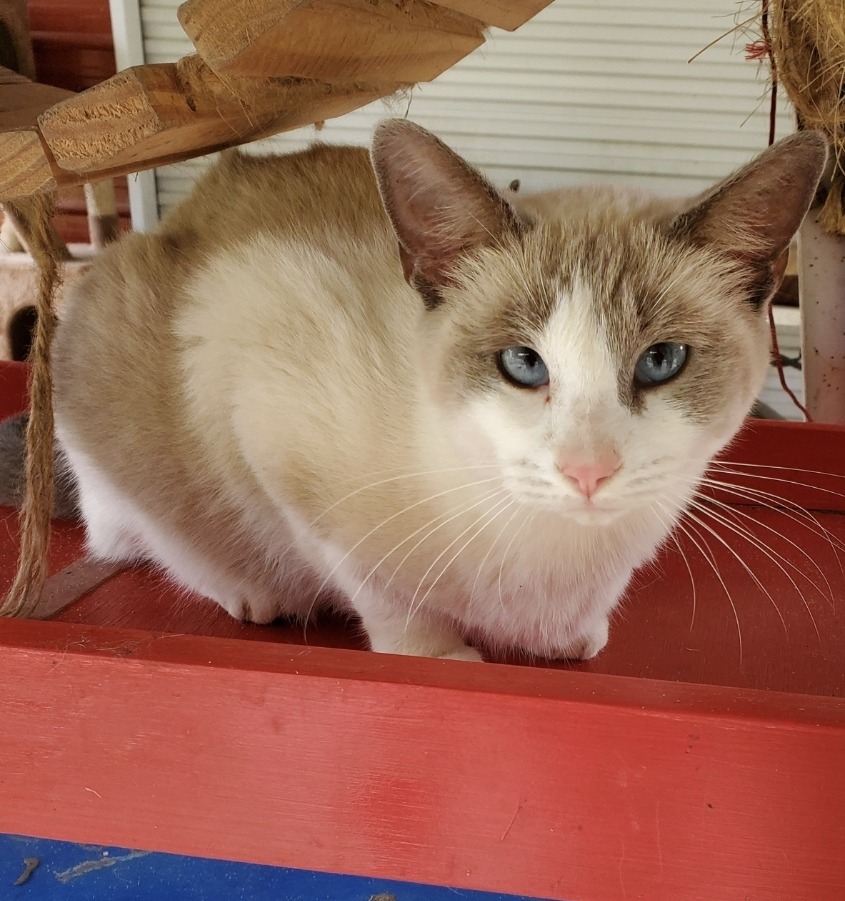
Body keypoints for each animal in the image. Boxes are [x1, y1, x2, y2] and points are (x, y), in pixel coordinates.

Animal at [8, 121, 824, 660]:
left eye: (660, 360)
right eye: (523, 364)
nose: (588, 471)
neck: (558, 551)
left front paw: (573, 638)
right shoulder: (262, 408)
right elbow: (376, 589)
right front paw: (438, 653)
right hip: (99, 346)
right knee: (138, 529)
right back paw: (252, 591)